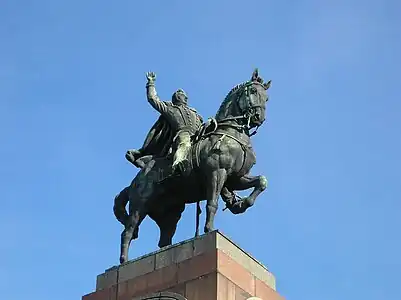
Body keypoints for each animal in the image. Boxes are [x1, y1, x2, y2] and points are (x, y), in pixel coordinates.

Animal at [115, 69, 272, 264]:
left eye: (267, 98)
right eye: (253, 91)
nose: (259, 118)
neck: (232, 134)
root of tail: (134, 181)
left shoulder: (236, 178)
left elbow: (261, 182)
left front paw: (241, 204)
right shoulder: (217, 173)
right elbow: (212, 203)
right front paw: (209, 228)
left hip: (170, 213)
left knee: (164, 240)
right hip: (140, 204)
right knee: (128, 230)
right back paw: (123, 260)